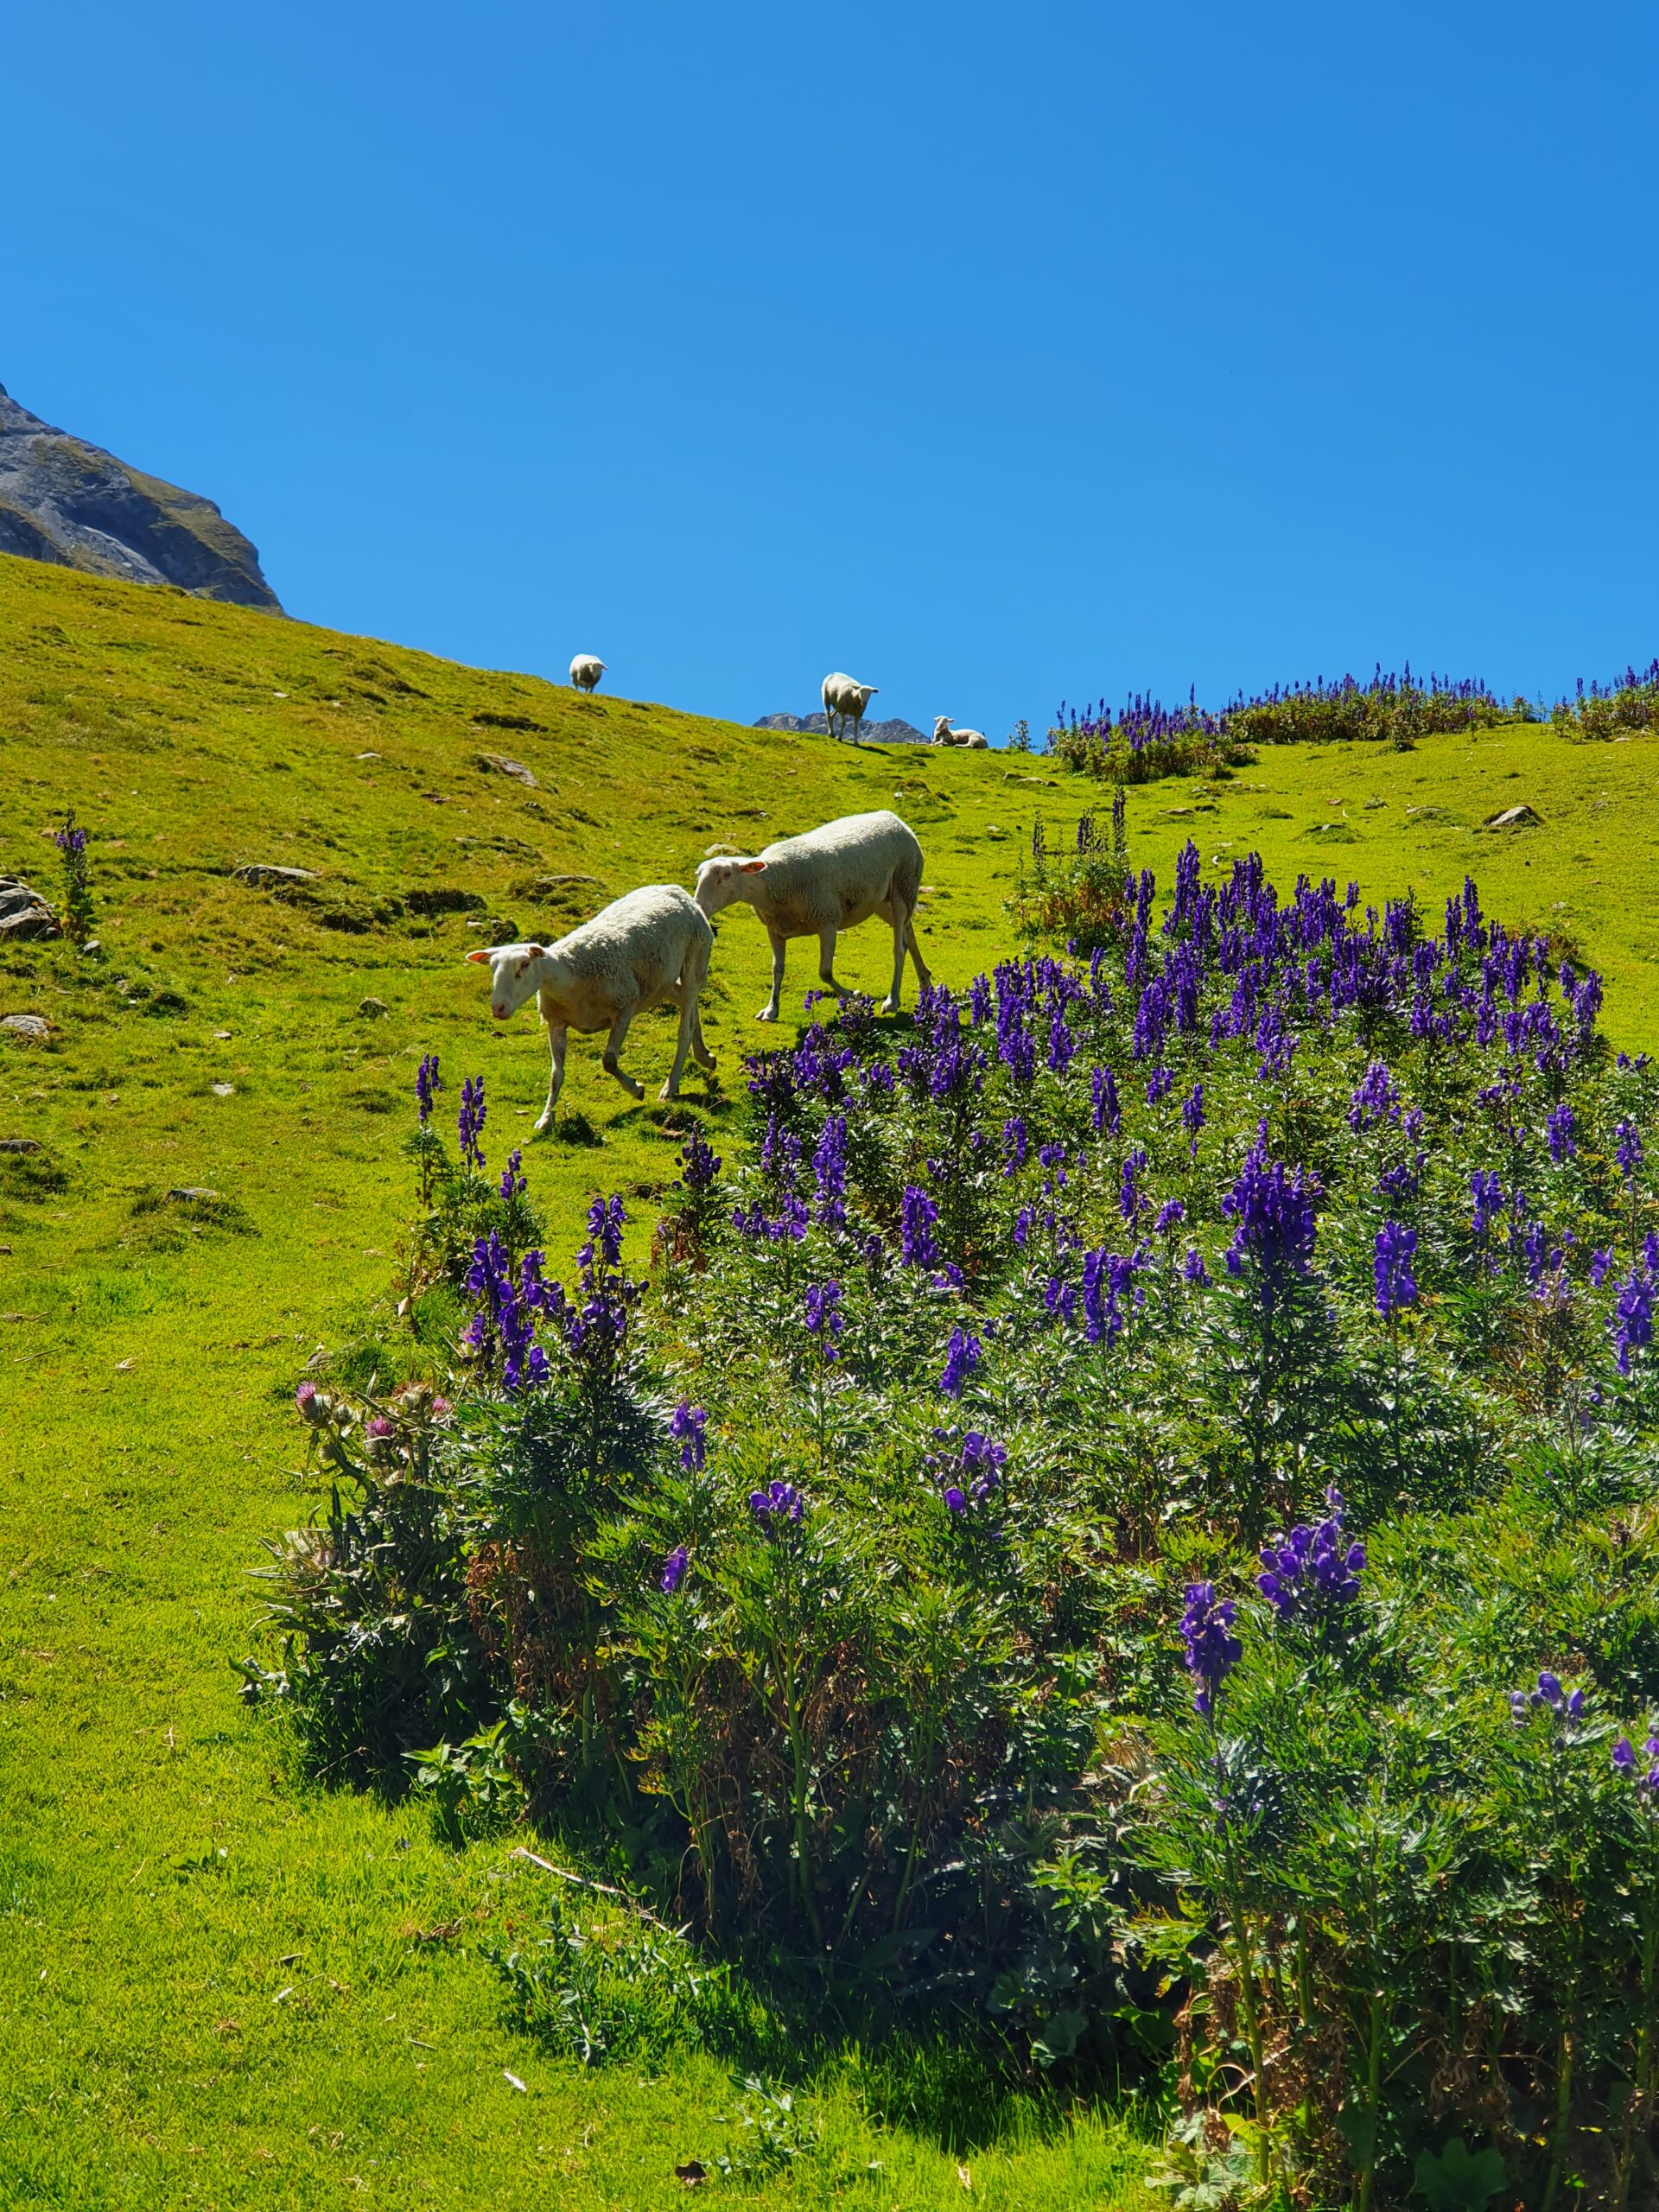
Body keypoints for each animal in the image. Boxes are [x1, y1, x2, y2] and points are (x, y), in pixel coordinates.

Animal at [690, 809, 929, 1021]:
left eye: (727, 875)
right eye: (699, 874)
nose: (699, 905)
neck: (776, 881)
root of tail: (893, 817)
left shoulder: (828, 919)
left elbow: (825, 972)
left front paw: (852, 995)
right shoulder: (774, 929)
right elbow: (777, 969)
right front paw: (771, 1010)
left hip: (904, 884)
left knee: (899, 947)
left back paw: (893, 1000)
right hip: (882, 900)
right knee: (909, 932)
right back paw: (925, 982)